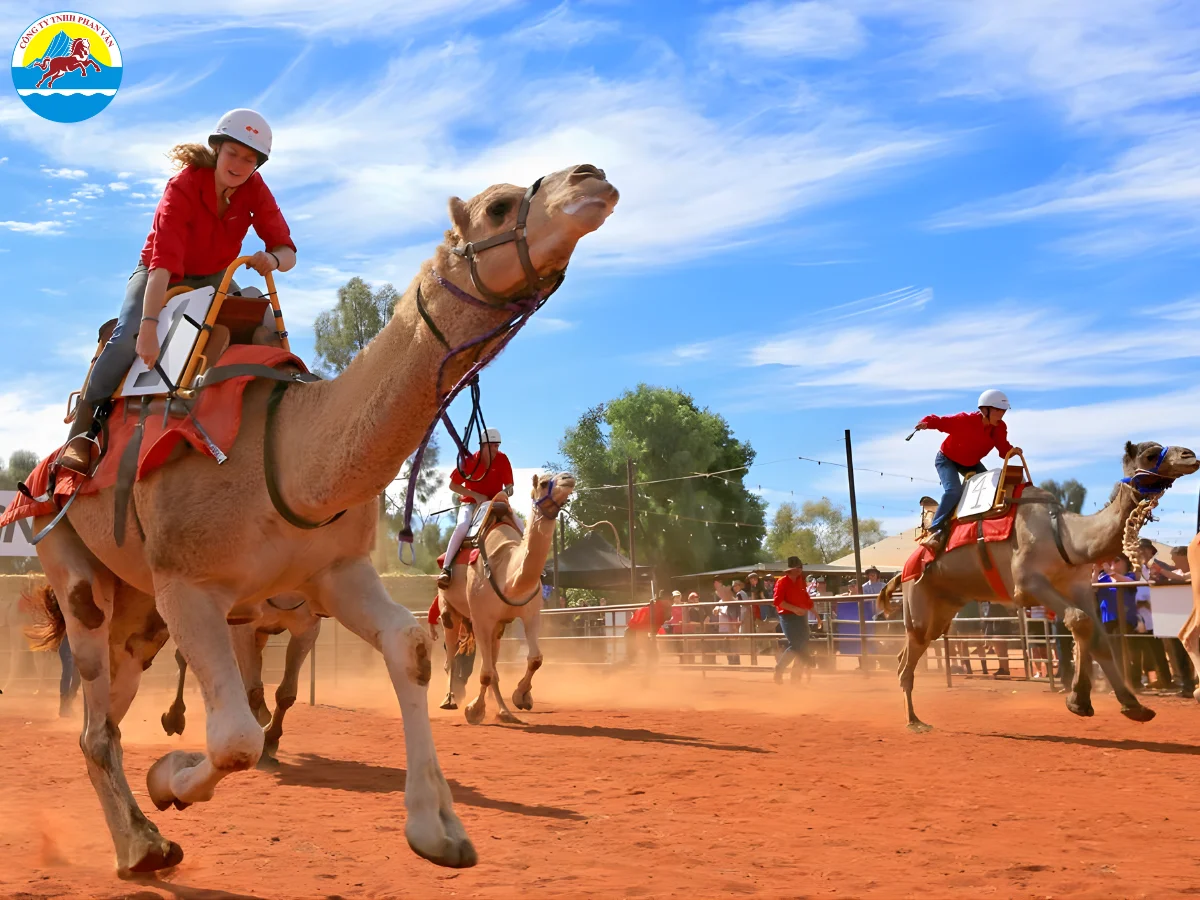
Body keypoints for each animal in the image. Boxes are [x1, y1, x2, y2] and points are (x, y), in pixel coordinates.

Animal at [160, 593, 320, 768]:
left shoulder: (307, 626)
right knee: (182, 655)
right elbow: (254, 692)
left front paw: (270, 738)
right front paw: (262, 747)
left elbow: (285, 694)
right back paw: (174, 718)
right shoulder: (242, 627)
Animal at [438, 473, 575, 723]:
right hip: (449, 612)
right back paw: (450, 700)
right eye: (543, 483)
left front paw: (521, 697)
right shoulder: (481, 618)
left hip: (497, 627)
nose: (568, 478)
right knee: (451, 656)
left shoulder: (530, 614)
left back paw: (503, 710)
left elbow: (535, 658)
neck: (508, 575)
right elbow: (485, 672)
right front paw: (474, 711)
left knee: (492, 664)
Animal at [878, 441, 1198, 732]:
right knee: (907, 658)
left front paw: (1126, 705)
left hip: (944, 607)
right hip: (918, 598)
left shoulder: (1079, 586)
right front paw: (1083, 700)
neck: (1065, 536)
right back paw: (914, 722)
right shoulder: (1027, 583)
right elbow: (1079, 621)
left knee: (910, 651)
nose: (1190, 456)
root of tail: (902, 571)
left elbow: (1095, 634)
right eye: (1151, 454)